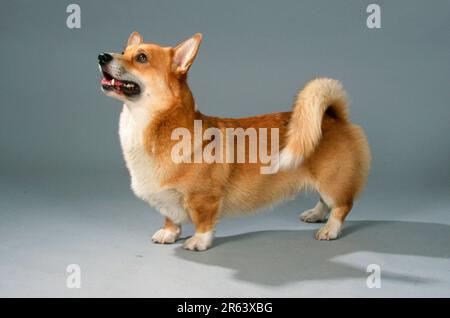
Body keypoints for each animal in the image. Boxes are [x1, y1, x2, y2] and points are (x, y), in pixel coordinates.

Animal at [97, 32, 370, 251]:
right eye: (123, 51)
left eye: (141, 58)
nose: (101, 56)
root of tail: (333, 116)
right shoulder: (168, 201)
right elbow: (171, 217)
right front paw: (168, 233)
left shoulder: (204, 199)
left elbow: (203, 222)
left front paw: (199, 242)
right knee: (325, 201)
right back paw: (315, 214)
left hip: (332, 180)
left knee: (341, 205)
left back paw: (329, 229)